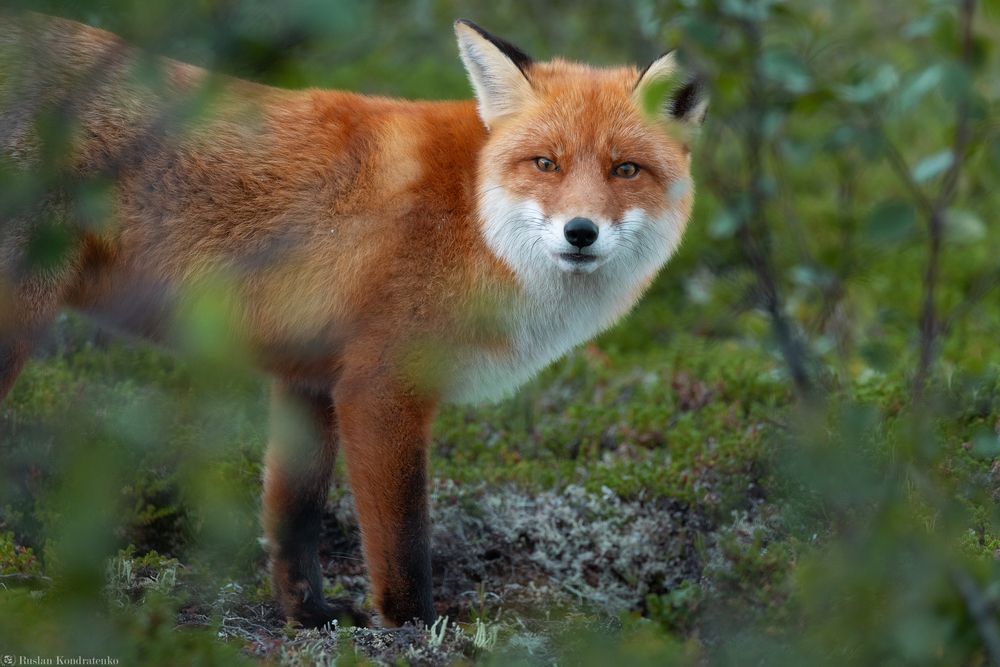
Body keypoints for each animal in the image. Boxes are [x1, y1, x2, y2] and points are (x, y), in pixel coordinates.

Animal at [0, 13, 708, 627]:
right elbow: (402, 541)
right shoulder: (381, 390)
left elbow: (293, 520)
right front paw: (412, 624)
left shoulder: (309, 382)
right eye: (546, 164)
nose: (580, 232)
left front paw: (307, 617)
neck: (475, 220)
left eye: (625, 169)